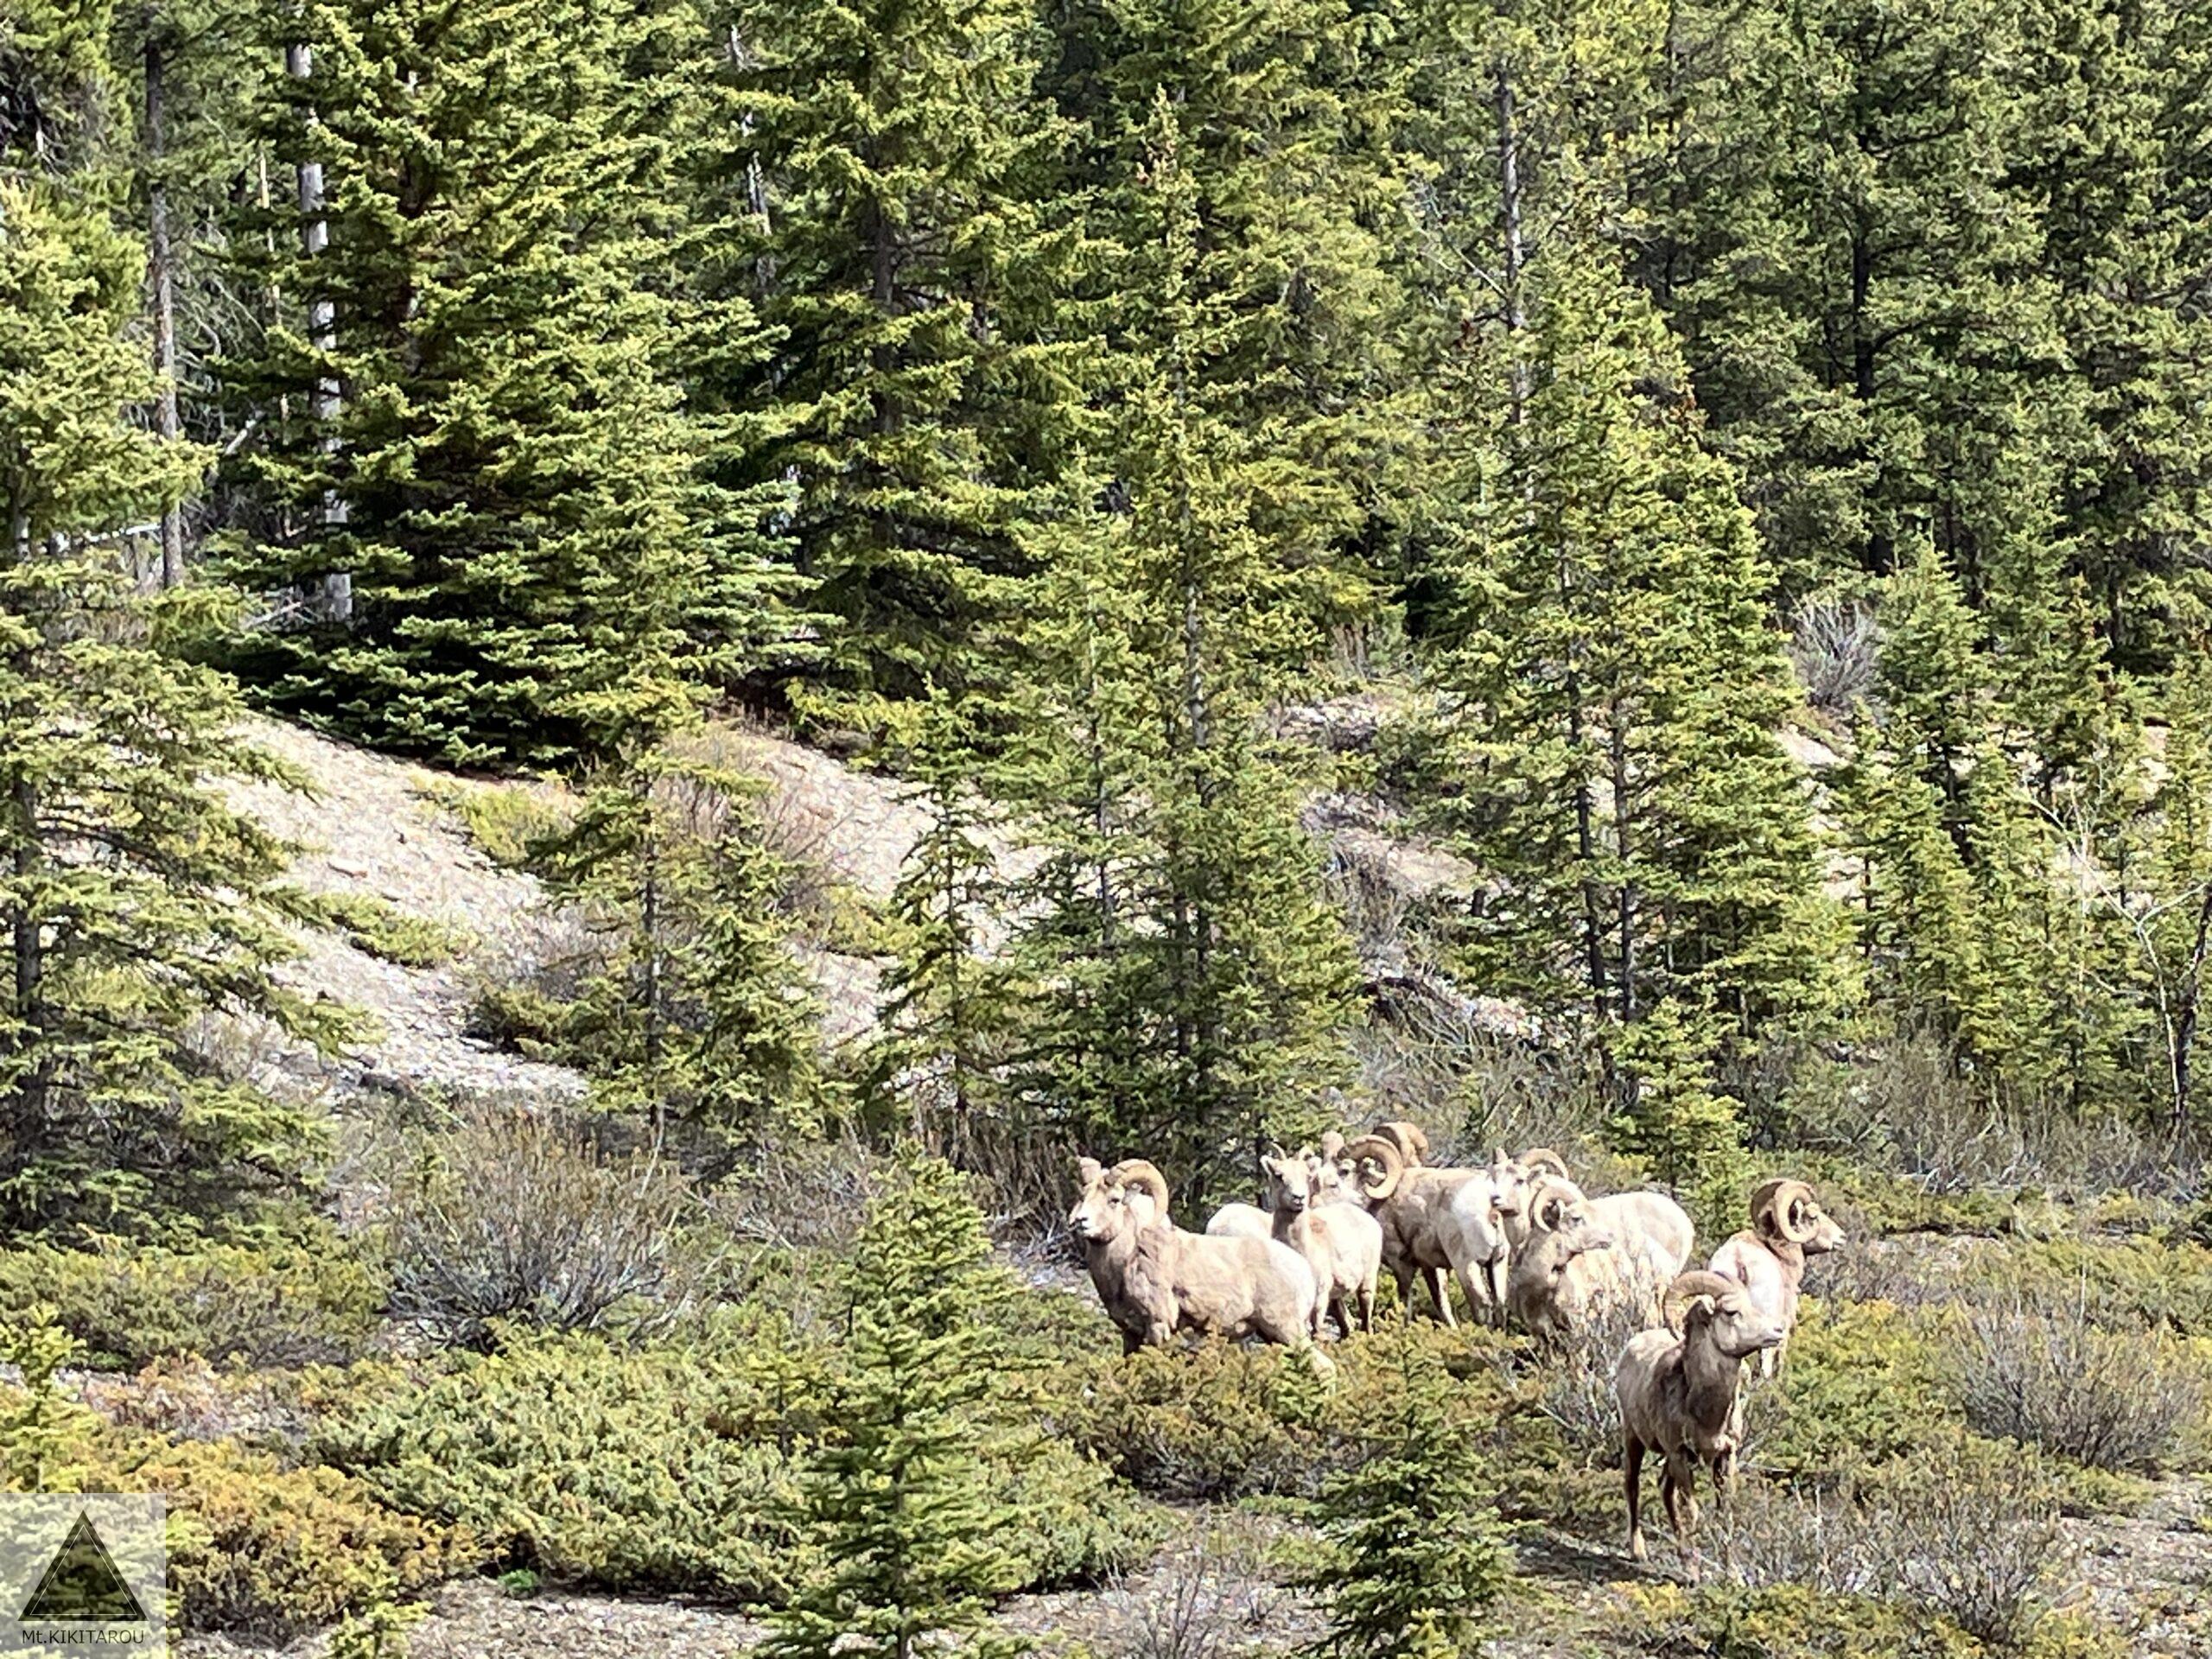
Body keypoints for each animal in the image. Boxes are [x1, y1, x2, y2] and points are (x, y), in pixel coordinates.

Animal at [1065, 1159, 1309, 1353]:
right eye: (1083, 1197)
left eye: (1114, 1200)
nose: (1081, 1221)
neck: (1125, 1265)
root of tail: (1304, 1271)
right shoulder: (1130, 1333)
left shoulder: (1158, 1325)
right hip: (1272, 1336)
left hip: (1287, 1329)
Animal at [1256, 1159, 1371, 1336]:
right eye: (1279, 1175)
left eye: (1307, 1176)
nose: (1298, 1198)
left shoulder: (1321, 1293)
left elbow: (1317, 1329)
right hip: (1336, 1298)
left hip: (1367, 1282)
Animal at [1618, 1282, 1787, 1574]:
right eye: (1731, 1312)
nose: (1778, 1331)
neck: (1708, 1417)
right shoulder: (1679, 1455)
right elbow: (1693, 1511)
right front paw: (1693, 1573)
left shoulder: (1725, 1456)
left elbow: (1725, 1511)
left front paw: (1732, 1574)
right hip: (1634, 1439)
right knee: (1633, 1486)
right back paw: (1639, 1552)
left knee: (1665, 1490)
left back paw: (1681, 1552)